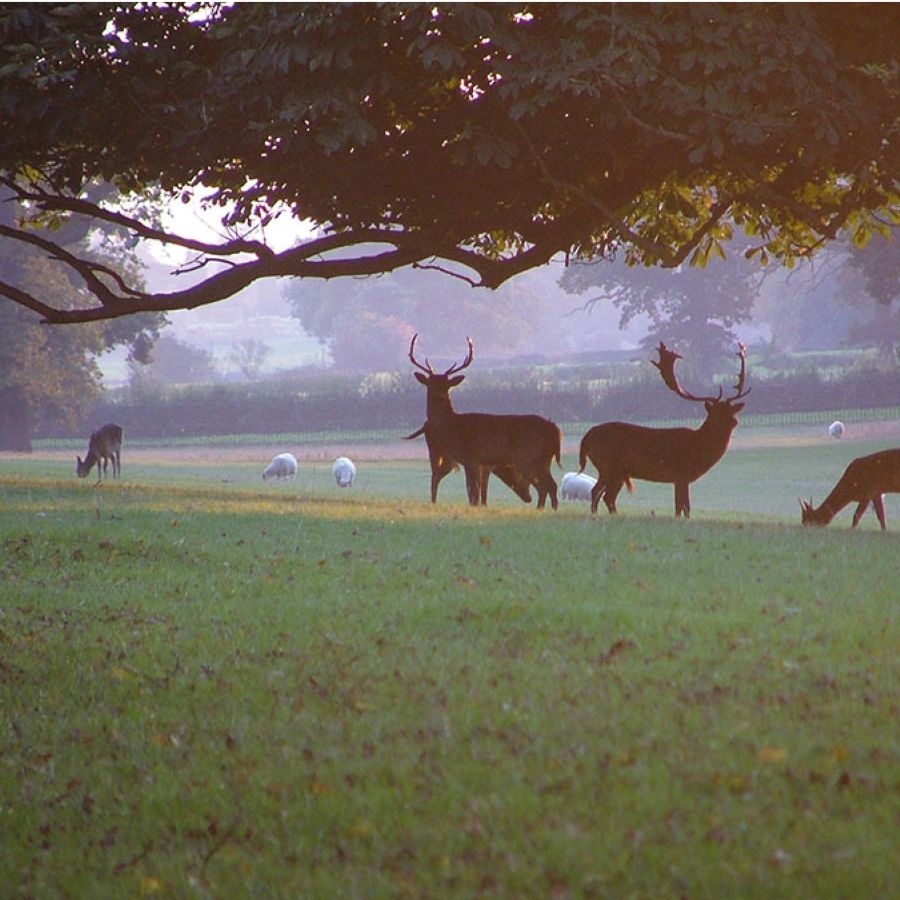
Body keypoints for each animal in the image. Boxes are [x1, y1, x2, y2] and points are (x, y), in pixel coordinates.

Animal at [408, 335, 561, 509]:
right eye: (430, 383)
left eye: (447, 385)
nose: (439, 396)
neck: (453, 427)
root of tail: (554, 429)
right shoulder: (474, 461)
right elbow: (473, 491)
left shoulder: (472, 457)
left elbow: (473, 491)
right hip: (544, 459)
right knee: (549, 485)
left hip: (529, 456)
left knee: (546, 486)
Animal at [579, 342, 750, 518]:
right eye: (716, 412)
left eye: (731, 410)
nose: (734, 421)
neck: (697, 447)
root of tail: (586, 438)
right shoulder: (680, 473)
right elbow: (683, 506)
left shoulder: (680, 478)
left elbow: (683, 507)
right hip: (606, 466)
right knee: (596, 492)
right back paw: (595, 516)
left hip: (618, 472)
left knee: (608, 497)